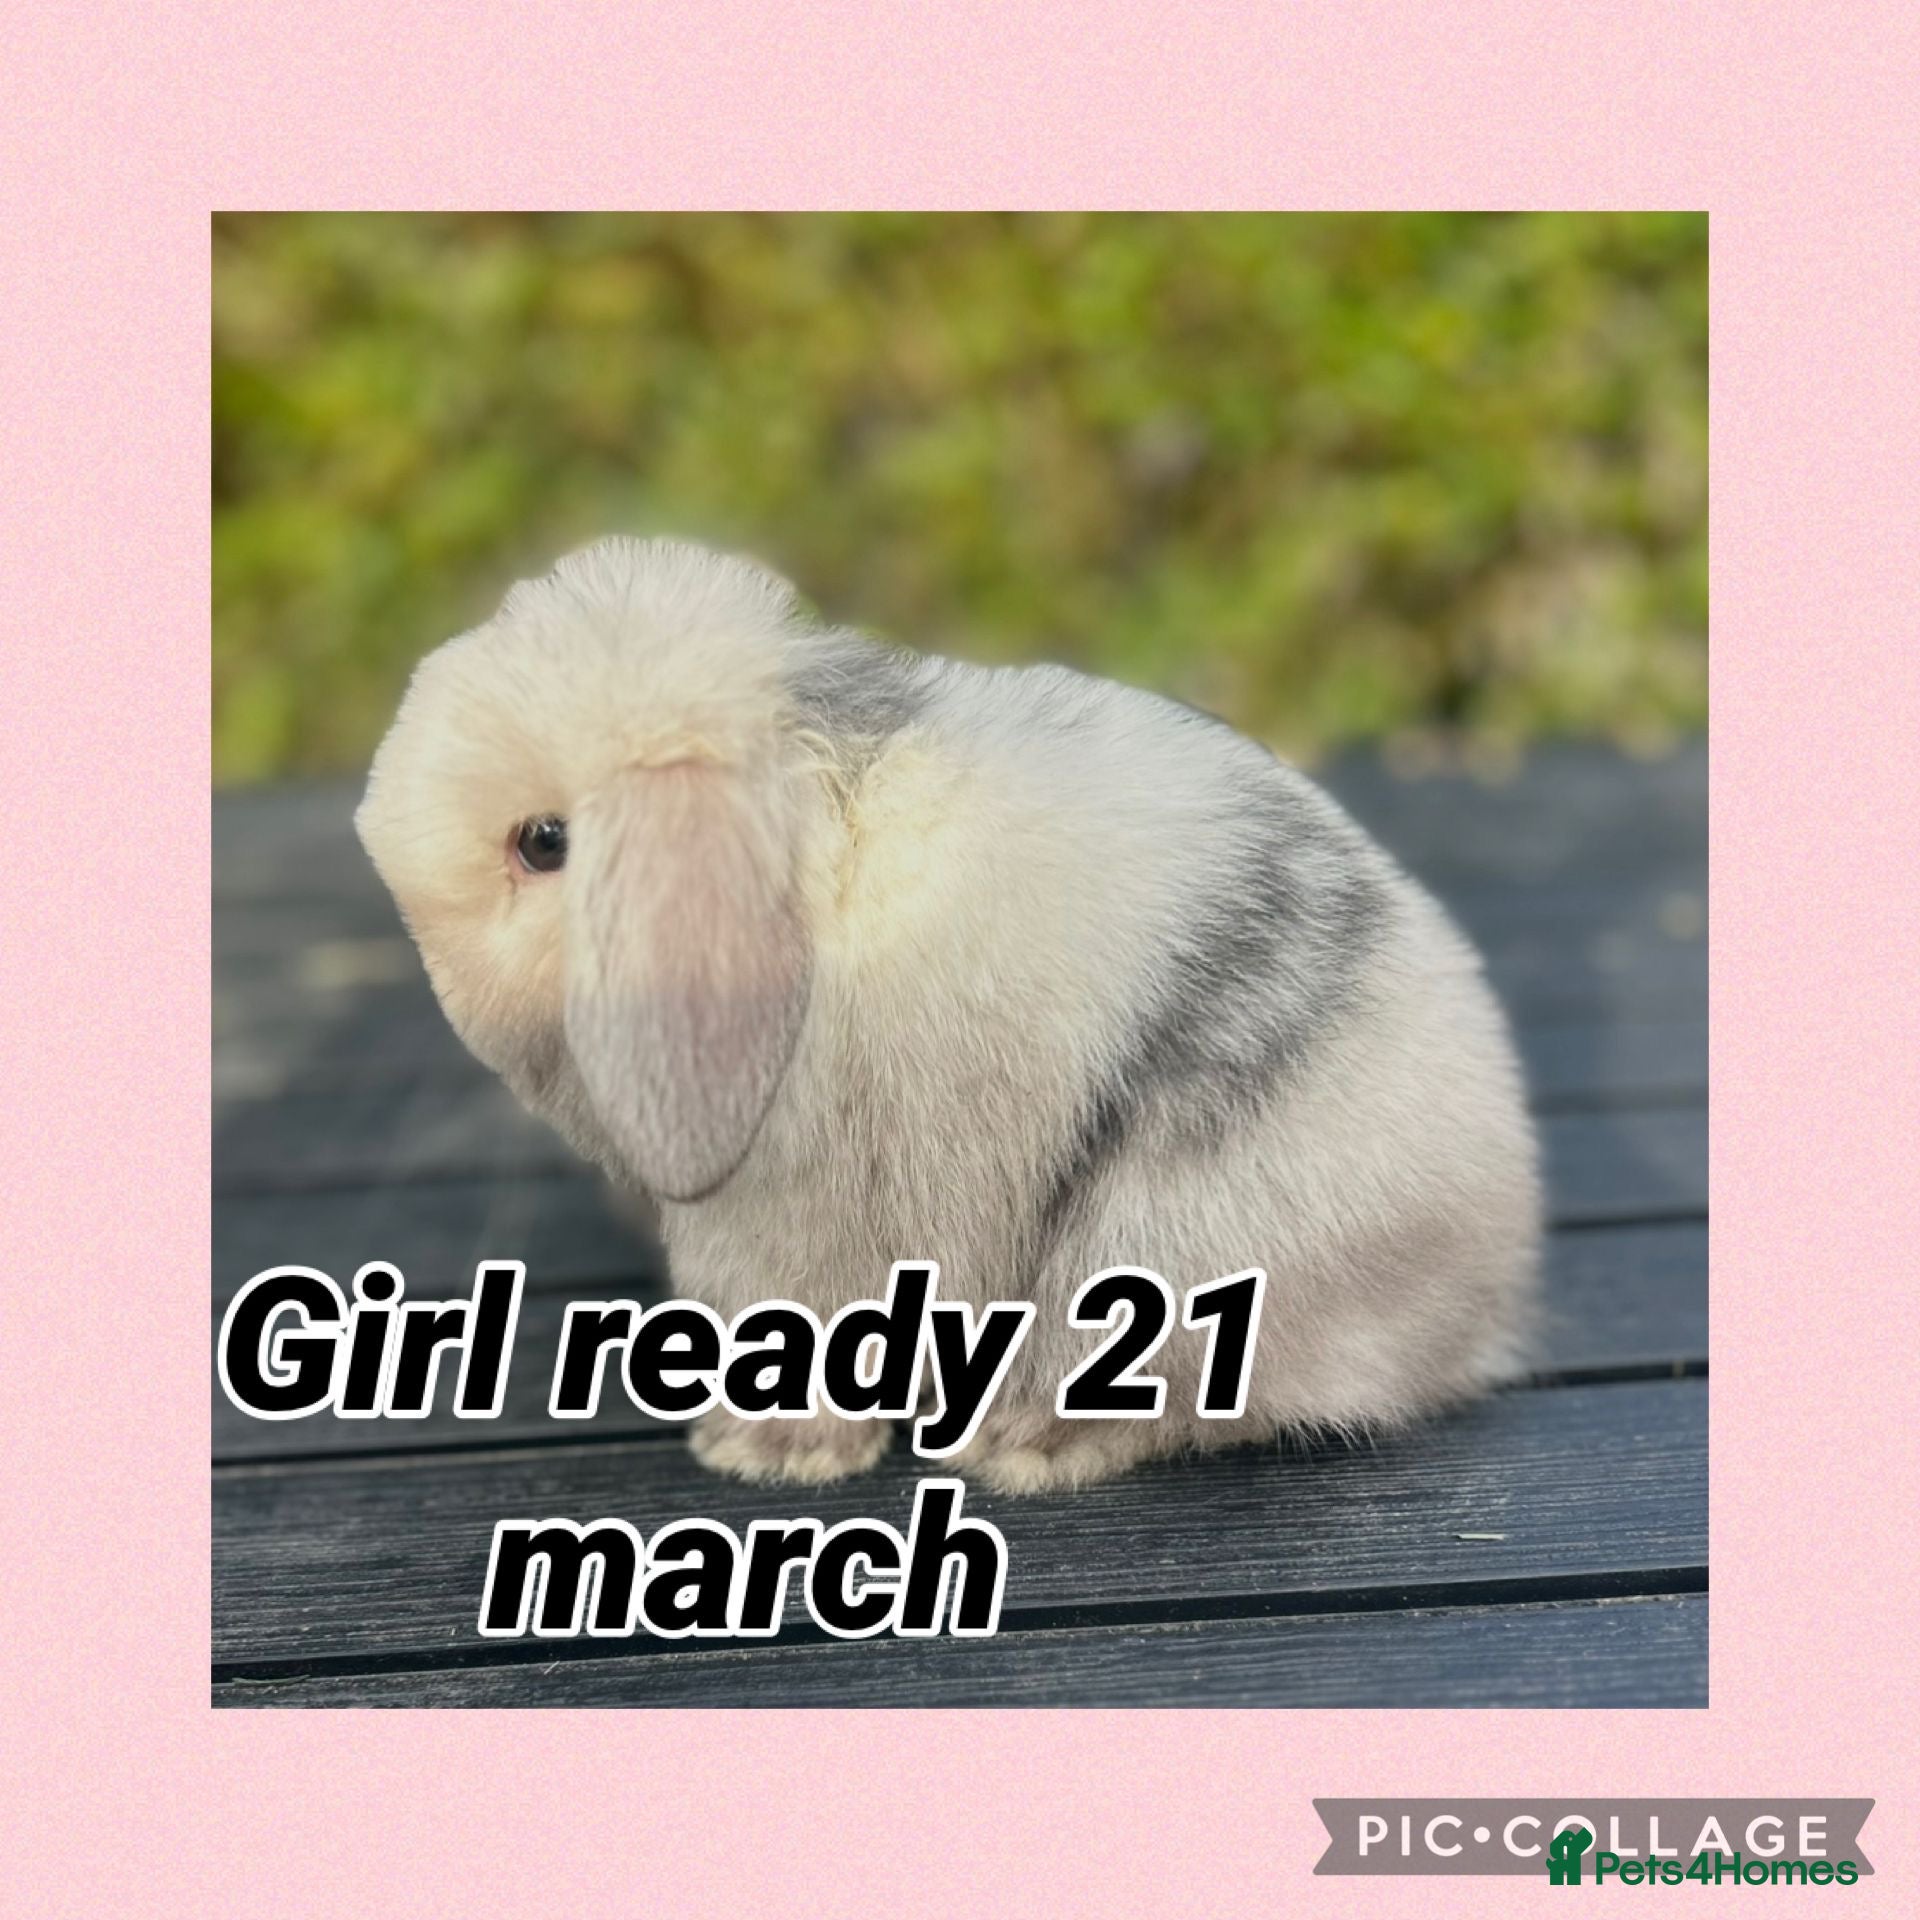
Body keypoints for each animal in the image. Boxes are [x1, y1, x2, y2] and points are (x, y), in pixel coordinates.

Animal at [356, 537, 1541, 1493]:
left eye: (545, 843)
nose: (383, 857)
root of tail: (1481, 1295)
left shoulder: (786, 1215)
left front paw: (765, 1454)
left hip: (1162, 1250)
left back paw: (1020, 1447)